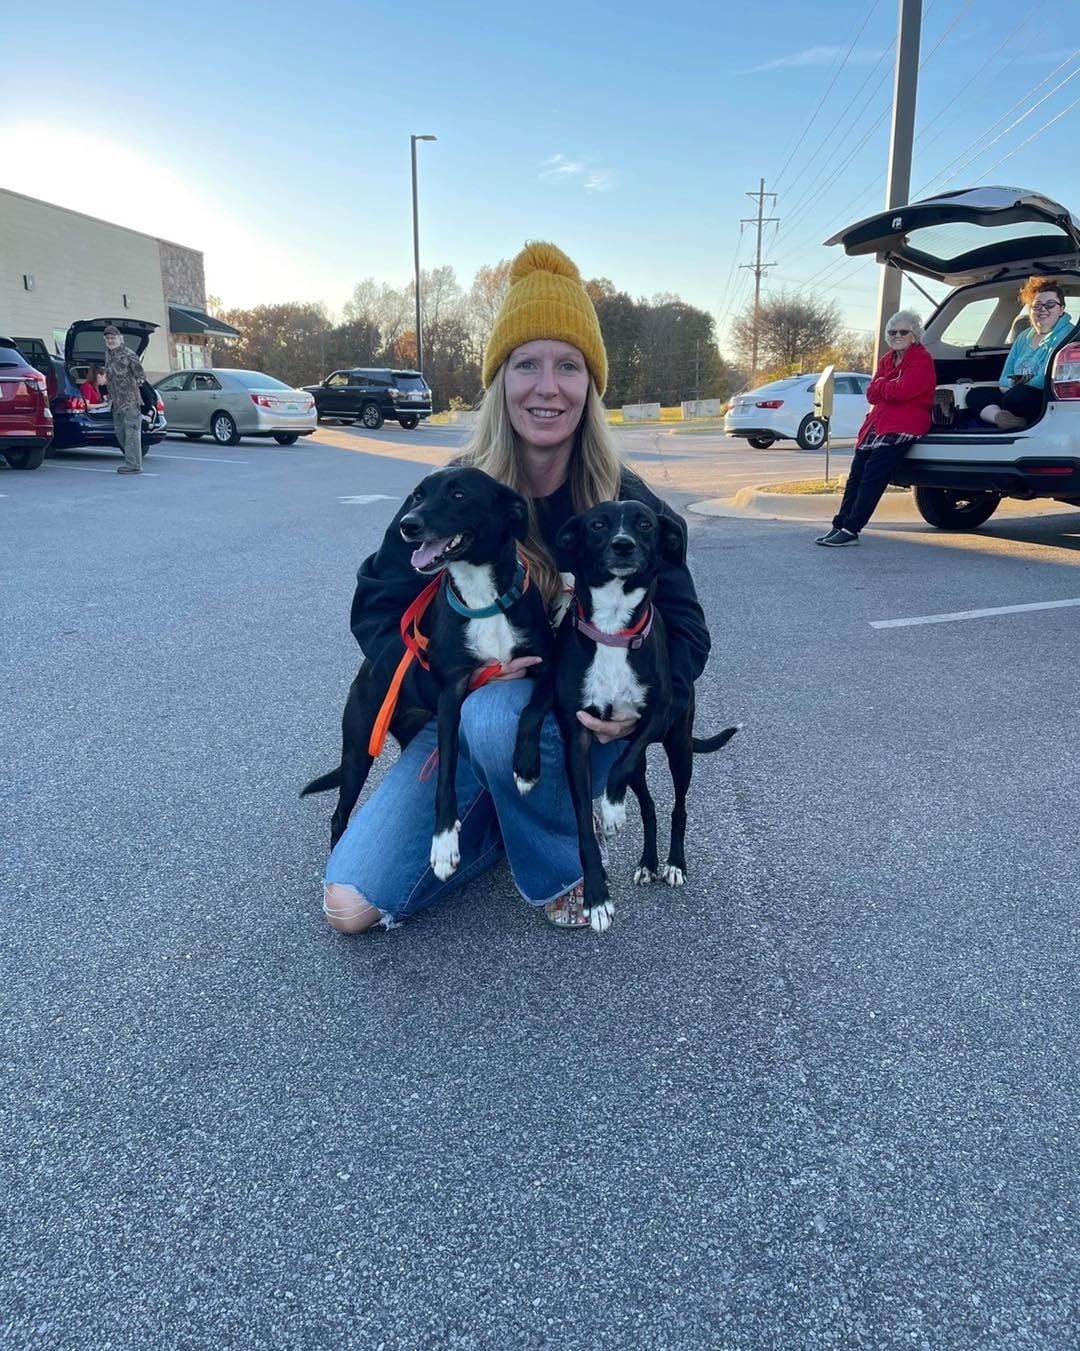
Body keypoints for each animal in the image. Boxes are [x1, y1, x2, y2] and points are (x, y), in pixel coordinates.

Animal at [304, 467, 556, 875]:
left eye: (458, 494)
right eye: (418, 495)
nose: (407, 525)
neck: (483, 600)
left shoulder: (546, 666)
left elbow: (532, 711)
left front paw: (525, 766)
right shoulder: (453, 692)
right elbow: (445, 773)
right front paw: (443, 842)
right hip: (358, 749)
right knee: (340, 814)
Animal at [554, 502, 740, 934]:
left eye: (645, 524)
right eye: (598, 524)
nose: (623, 545)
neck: (612, 629)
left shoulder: (656, 715)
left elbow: (618, 769)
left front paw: (611, 809)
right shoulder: (578, 738)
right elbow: (585, 828)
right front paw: (597, 898)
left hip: (679, 748)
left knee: (676, 806)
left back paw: (672, 864)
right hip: (644, 764)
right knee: (650, 806)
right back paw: (648, 862)